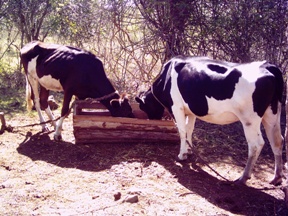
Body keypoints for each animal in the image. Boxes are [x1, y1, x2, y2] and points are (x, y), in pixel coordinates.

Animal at [136, 56, 284, 186]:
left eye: (144, 107)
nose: (152, 120)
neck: (166, 77)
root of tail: (268, 66)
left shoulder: (177, 107)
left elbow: (182, 131)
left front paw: (182, 155)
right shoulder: (190, 110)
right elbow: (190, 129)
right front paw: (189, 151)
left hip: (250, 119)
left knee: (256, 144)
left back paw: (243, 178)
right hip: (272, 114)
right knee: (277, 140)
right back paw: (276, 177)